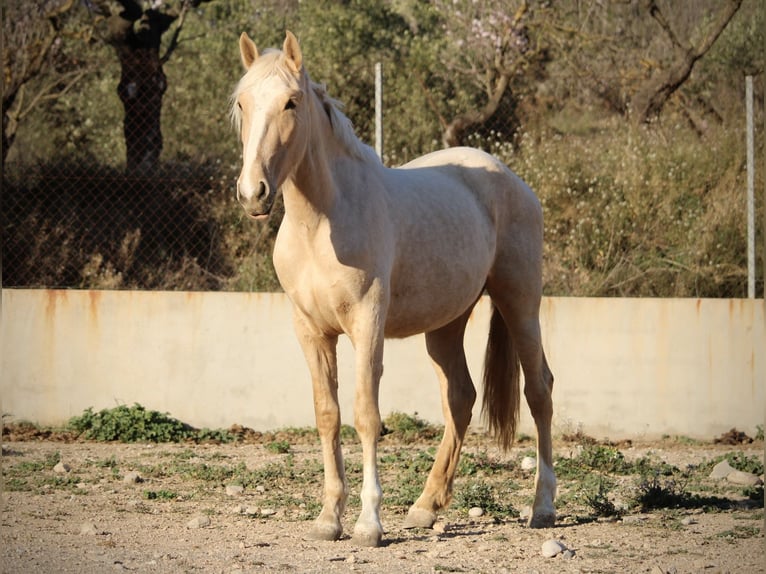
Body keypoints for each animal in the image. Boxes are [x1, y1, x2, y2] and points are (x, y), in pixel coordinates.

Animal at [231, 30, 556, 548]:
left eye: (290, 103)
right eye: (242, 103)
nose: (252, 194)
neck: (322, 224)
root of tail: (510, 178)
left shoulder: (367, 324)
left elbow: (367, 415)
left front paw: (368, 523)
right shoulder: (310, 330)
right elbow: (327, 414)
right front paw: (329, 518)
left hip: (520, 303)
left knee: (539, 389)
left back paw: (543, 506)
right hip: (446, 324)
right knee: (460, 399)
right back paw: (426, 506)